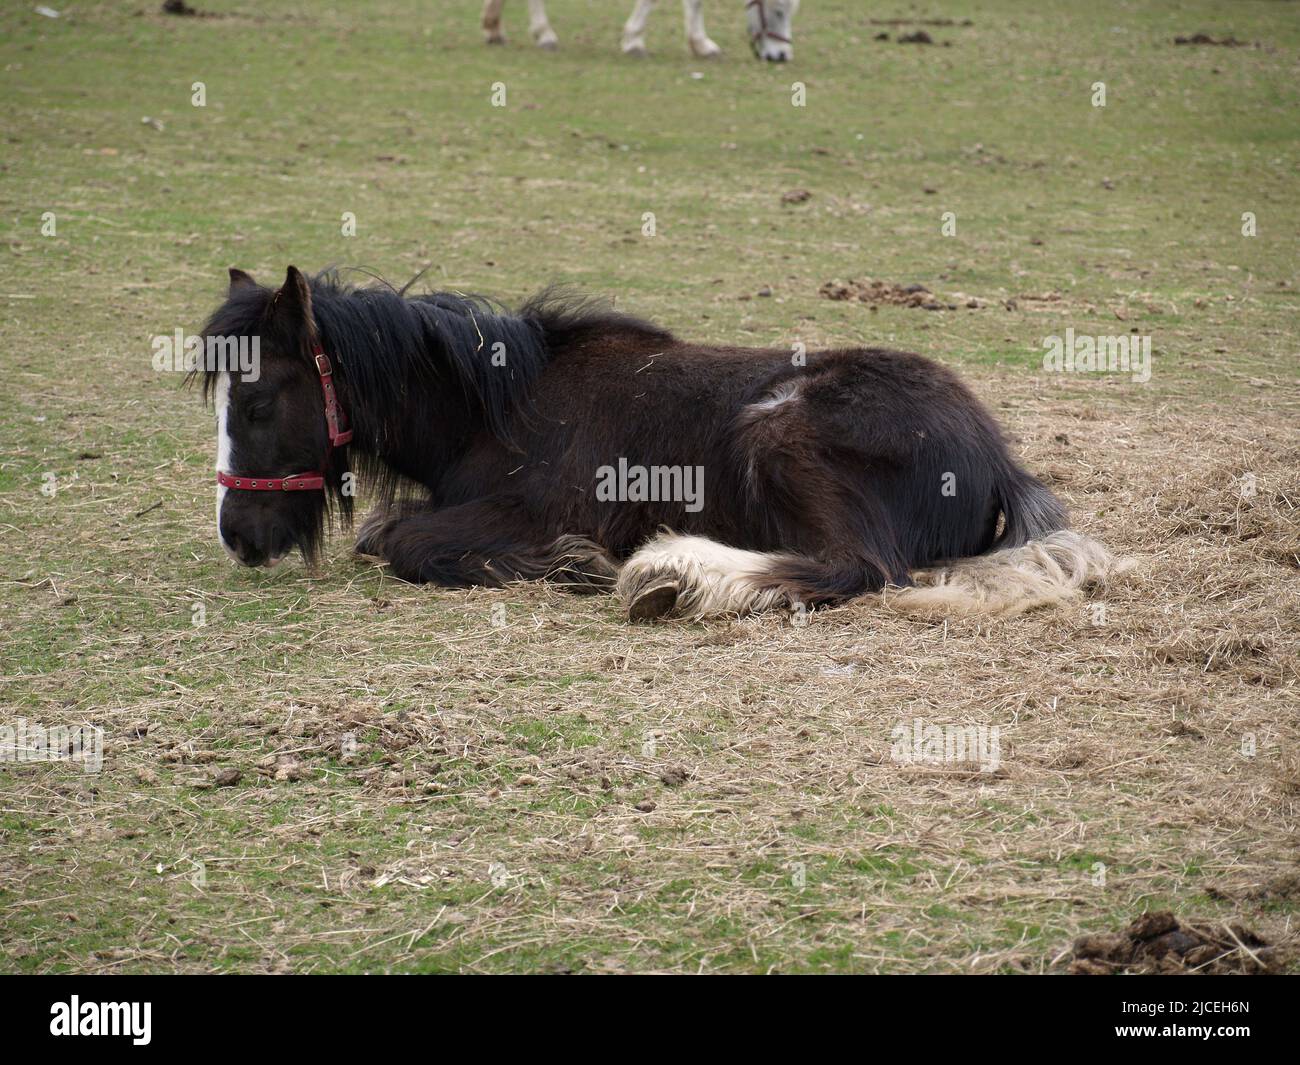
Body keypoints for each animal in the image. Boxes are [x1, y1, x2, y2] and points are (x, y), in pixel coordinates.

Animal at [197, 266, 1123, 621]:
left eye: (256, 399)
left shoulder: (522, 511)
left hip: (779, 431)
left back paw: (670, 574)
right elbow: (381, 534)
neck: (500, 405)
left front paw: (575, 563)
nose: (237, 538)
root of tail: (996, 457)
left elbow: (398, 541)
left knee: (852, 568)